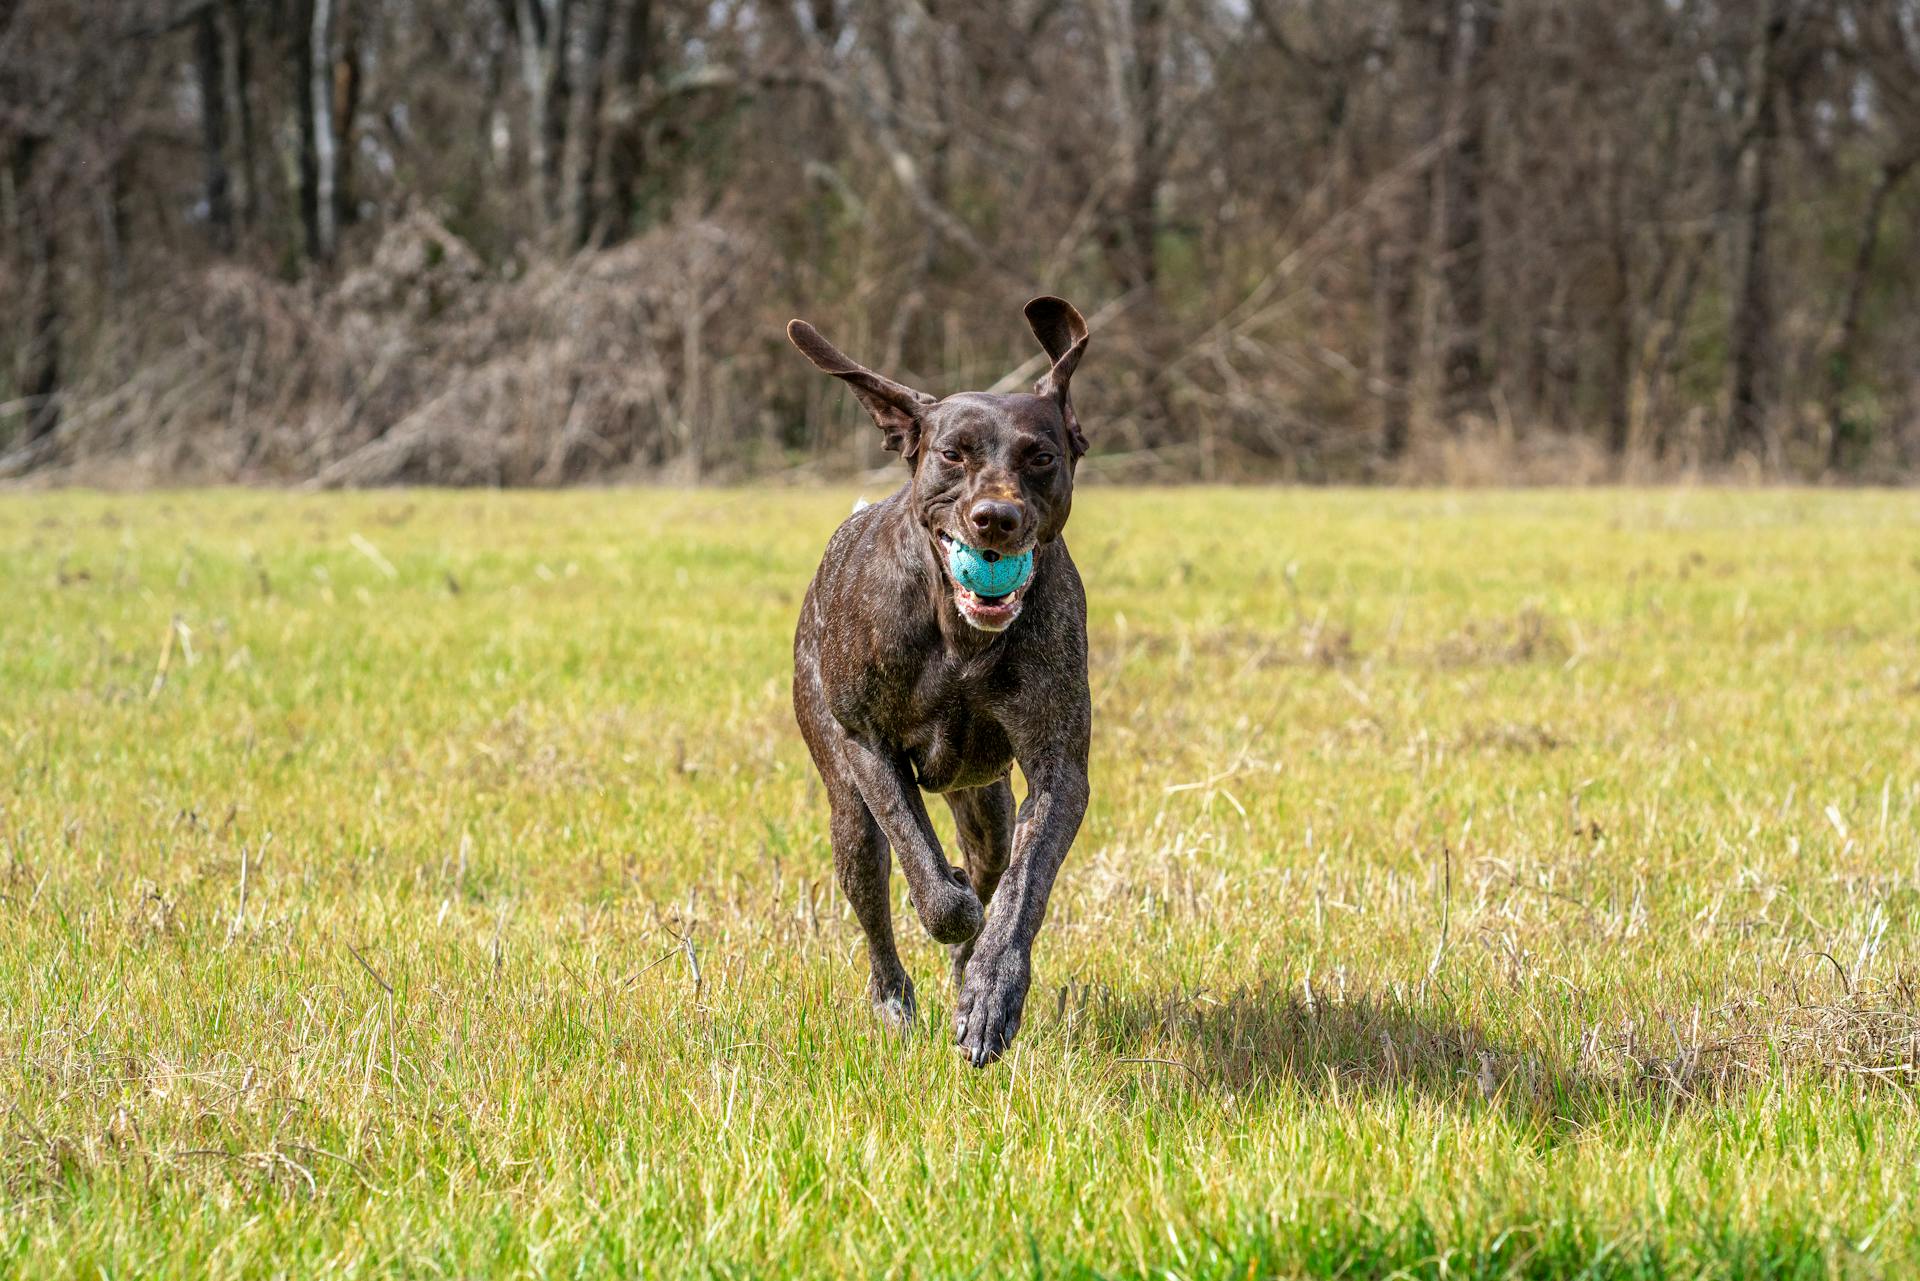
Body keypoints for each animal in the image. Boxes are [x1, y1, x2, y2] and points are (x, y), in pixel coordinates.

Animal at [787, 295, 1098, 1067]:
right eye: (953, 453)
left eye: (1041, 455)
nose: (996, 519)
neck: (961, 639)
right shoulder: (867, 745)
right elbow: (933, 880)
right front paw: (950, 904)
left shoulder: (1058, 770)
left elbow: (1020, 891)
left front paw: (990, 992)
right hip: (845, 805)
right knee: (875, 887)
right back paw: (893, 998)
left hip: (985, 803)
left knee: (989, 858)